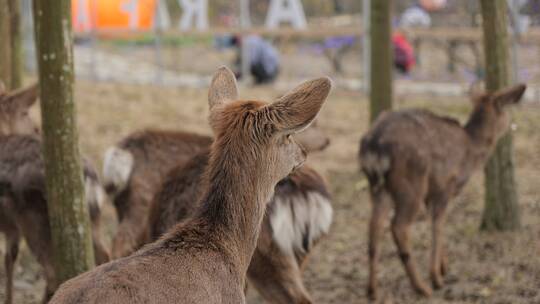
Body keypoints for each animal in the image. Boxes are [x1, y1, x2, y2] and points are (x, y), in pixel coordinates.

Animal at [0, 83, 109, 304]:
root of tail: (89, 179)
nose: (36, 129)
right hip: (92, 220)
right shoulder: (10, 228)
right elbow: (9, 258)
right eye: (25, 113)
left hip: (34, 220)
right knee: (104, 254)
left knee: (51, 273)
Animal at [360, 83, 524, 300]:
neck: (471, 152)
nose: (513, 126)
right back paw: (422, 287)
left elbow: (441, 224)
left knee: (374, 225)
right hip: (412, 183)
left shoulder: (433, 193)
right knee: (399, 226)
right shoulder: (445, 186)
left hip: (378, 187)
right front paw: (437, 277)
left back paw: (372, 291)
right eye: (506, 109)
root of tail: (374, 146)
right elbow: (438, 225)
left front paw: (444, 267)